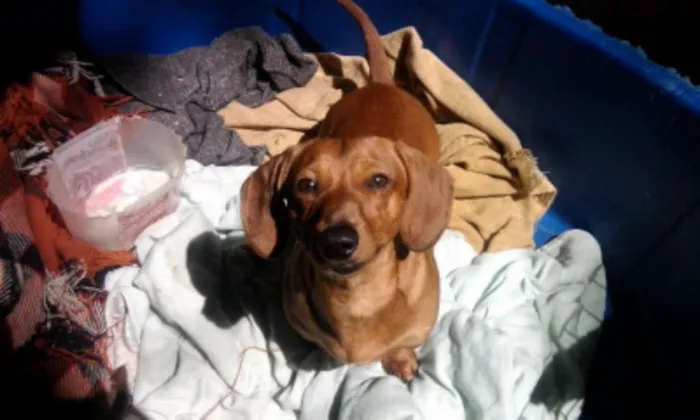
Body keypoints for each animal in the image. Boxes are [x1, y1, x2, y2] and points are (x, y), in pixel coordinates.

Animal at [240, 0, 453, 381]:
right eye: (306, 185)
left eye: (379, 180)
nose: (337, 242)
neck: (357, 298)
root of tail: (381, 84)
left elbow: (400, 346)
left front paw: (401, 359)